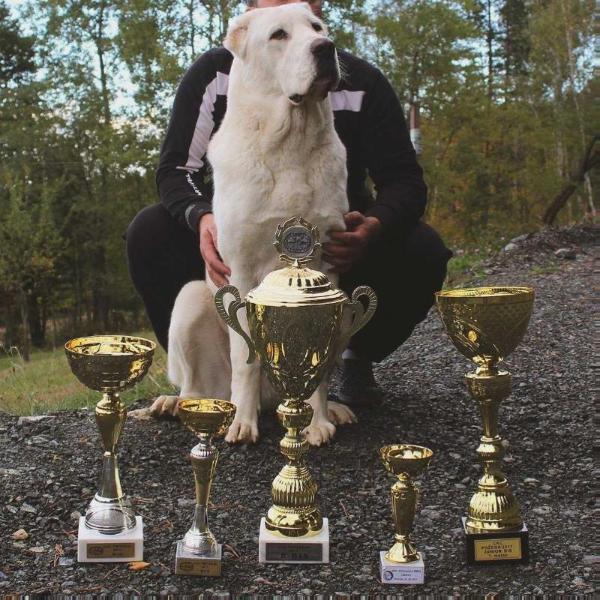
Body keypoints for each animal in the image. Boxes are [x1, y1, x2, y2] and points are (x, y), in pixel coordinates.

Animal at [151, 4, 356, 446]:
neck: (290, 142)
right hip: (191, 301)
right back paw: (180, 404)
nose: (325, 47)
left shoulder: (327, 269)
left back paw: (334, 409)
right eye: (279, 35)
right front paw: (242, 425)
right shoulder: (241, 274)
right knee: (195, 386)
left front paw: (317, 422)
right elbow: (246, 360)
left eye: (317, 28)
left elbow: (318, 368)